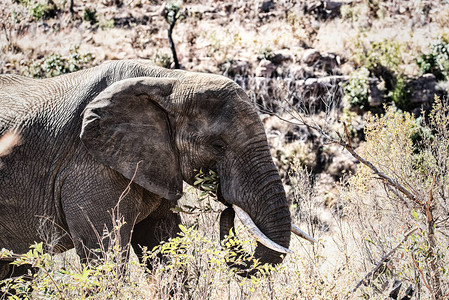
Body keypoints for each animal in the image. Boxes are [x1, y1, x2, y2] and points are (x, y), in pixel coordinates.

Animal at [0, 59, 316, 278]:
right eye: (217, 146)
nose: (227, 205)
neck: (169, 80)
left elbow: (163, 245)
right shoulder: (88, 168)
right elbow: (104, 256)